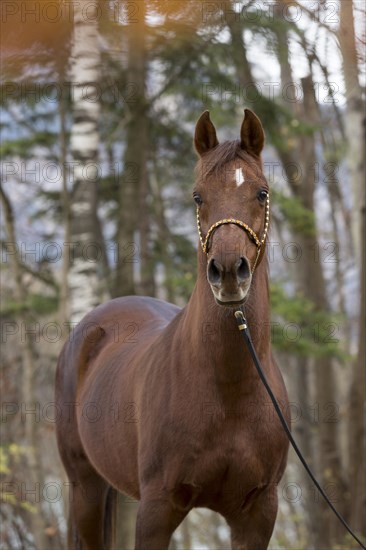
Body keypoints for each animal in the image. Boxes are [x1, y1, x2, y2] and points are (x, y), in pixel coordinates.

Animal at [55, 110, 288, 548]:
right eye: (198, 196)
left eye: (261, 193)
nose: (228, 272)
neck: (229, 390)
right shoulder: (157, 509)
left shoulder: (257, 514)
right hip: (86, 488)